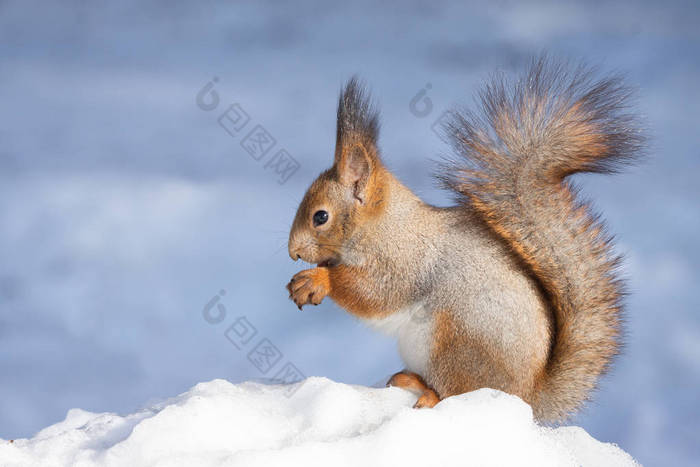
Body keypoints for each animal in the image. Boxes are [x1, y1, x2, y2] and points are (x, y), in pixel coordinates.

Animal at [286, 58, 644, 424]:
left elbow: (373, 293)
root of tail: (527, 396)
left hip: (457, 342)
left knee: (454, 391)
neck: (385, 224)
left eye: (320, 217)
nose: (292, 251)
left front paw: (317, 280)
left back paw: (425, 390)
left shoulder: (403, 261)